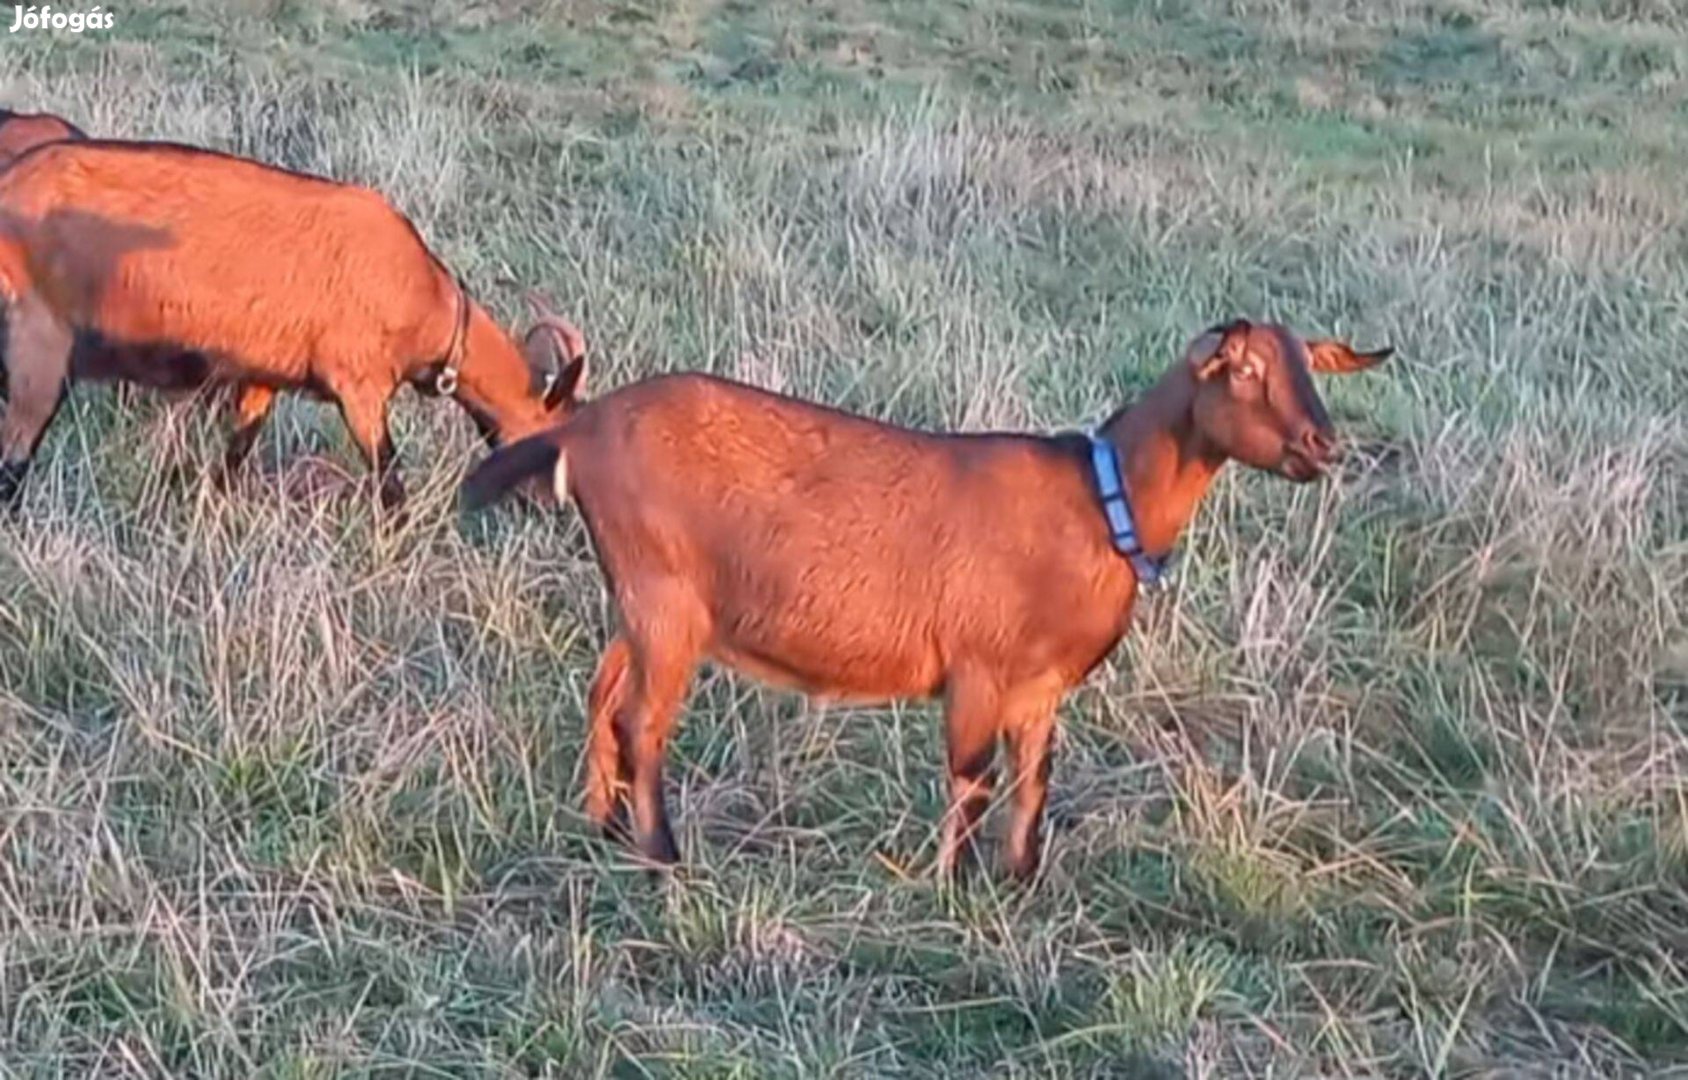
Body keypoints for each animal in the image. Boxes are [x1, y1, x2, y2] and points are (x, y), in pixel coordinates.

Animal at [0, 138, 594, 506]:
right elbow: (391, 483)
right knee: (13, 465)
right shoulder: (360, 389)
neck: (424, 295)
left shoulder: (263, 379)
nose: (553, 509)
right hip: (40, 343)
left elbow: (234, 458)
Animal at [459, 317, 1384, 884]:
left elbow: (1034, 780)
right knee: (642, 721)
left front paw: (1019, 883)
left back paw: (604, 826)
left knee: (604, 692)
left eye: (1309, 366)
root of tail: (580, 430)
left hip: (643, 598)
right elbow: (972, 778)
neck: (1102, 502)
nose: (1323, 444)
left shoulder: (1040, 689)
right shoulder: (977, 666)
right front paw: (952, 886)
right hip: (666, 595)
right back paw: (662, 855)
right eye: (1247, 369)